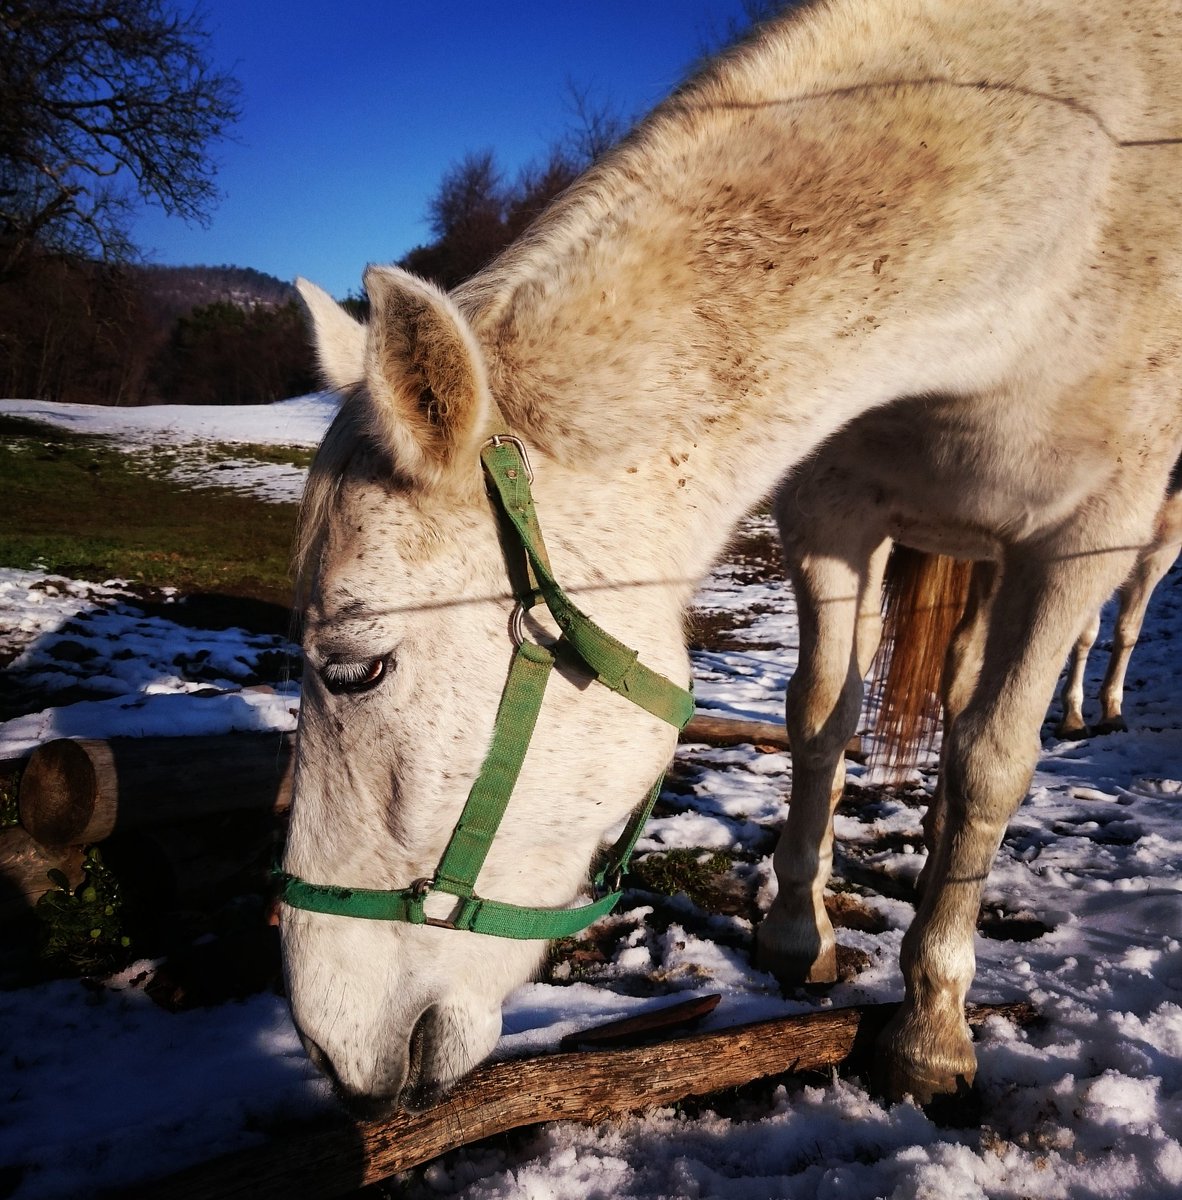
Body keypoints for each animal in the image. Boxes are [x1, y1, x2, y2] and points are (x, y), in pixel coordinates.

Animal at [280, 0, 1182, 1112]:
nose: (325, 1049)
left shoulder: (1085, 534)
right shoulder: (835, 509)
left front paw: (931, 1023)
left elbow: (993, 763)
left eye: (357, 669)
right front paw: (798, 935)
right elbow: (821, 719)